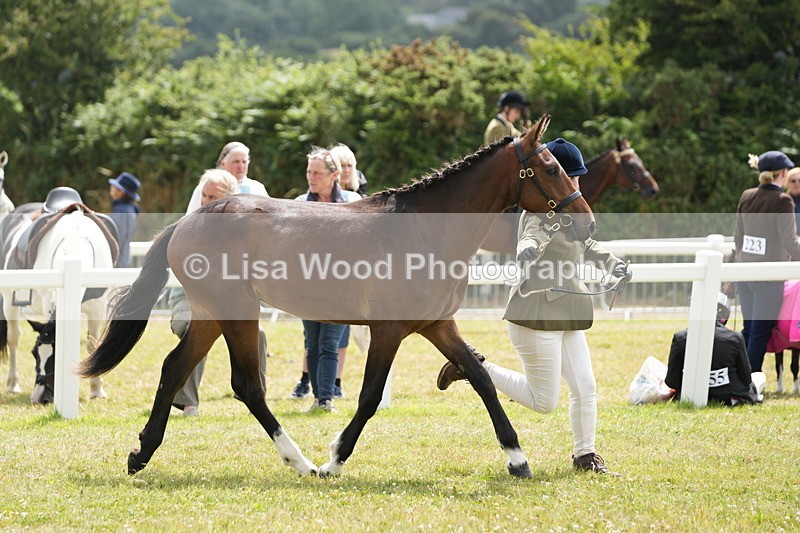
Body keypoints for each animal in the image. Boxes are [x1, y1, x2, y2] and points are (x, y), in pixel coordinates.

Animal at [0, 192, 119, 403]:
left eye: (55, 357)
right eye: (34, 353)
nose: (39, 397)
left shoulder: (98, 307)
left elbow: (93, 344)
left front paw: (96, 389)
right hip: (9, 302)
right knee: (14, 338)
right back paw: (13, 384)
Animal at [78, 115, 596, 478]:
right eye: (550, 168)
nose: (587, 222)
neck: (425, 230)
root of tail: (188, 222)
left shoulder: (437, 326)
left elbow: (481, 379)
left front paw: (517, 459)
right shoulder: (389, 332)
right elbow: (368, 397)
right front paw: (334, 460)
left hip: (210, 315)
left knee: (174, 369)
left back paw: (141, 453)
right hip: (237, 313)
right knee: (246, 385)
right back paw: (302, 462)